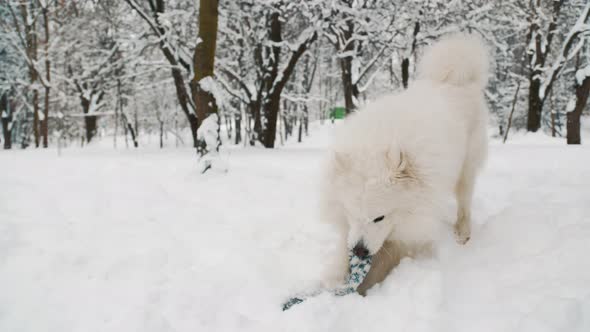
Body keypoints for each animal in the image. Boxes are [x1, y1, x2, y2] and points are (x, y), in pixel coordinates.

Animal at [322, 33, 492, 294]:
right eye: (350, 213)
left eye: (379, 218)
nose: (359, 251)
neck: (377, 143)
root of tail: (456, 80)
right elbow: (343, 252)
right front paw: (334, 281)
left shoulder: (409, 230)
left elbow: (384, 261)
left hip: (466, 169)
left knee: (464, 203)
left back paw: (462, 234)